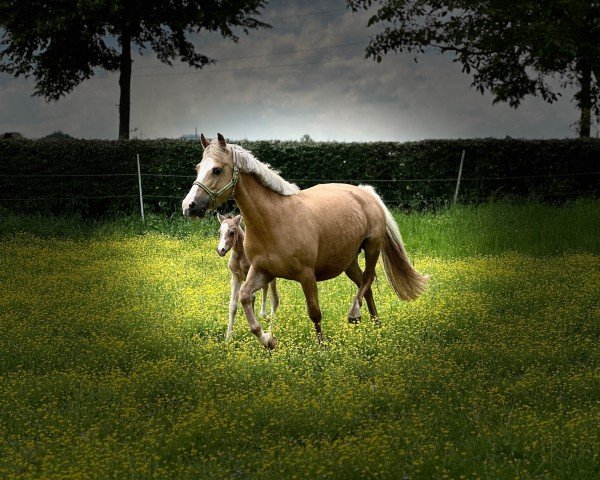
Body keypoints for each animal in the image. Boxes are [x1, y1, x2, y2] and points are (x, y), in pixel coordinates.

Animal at [217, 212, 280, 340]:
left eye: (232, 232)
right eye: (219, 232)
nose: (221, 250)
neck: (240, 255)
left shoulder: (248, 276)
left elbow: (252, 298)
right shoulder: (235, 277)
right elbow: (233, 305)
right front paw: (228, 338)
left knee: (275, 299)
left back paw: (270, 329)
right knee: (265, 289)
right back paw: (263, 315)